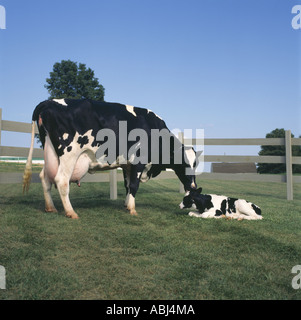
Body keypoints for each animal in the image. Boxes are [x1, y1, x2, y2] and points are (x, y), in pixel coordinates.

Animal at [23, 99, 199, 219]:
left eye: (195, 164)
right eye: (183, 164)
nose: (193, 186)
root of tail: (48, 102)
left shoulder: (127, 165)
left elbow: (127, 186)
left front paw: (127, 205)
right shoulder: (138, 161)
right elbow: (134, 186)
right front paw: (133, 209)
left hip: (50, 151)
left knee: (45, 178)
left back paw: (50, 207)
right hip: (69, 154)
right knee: (61, 180)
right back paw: (71, 212)